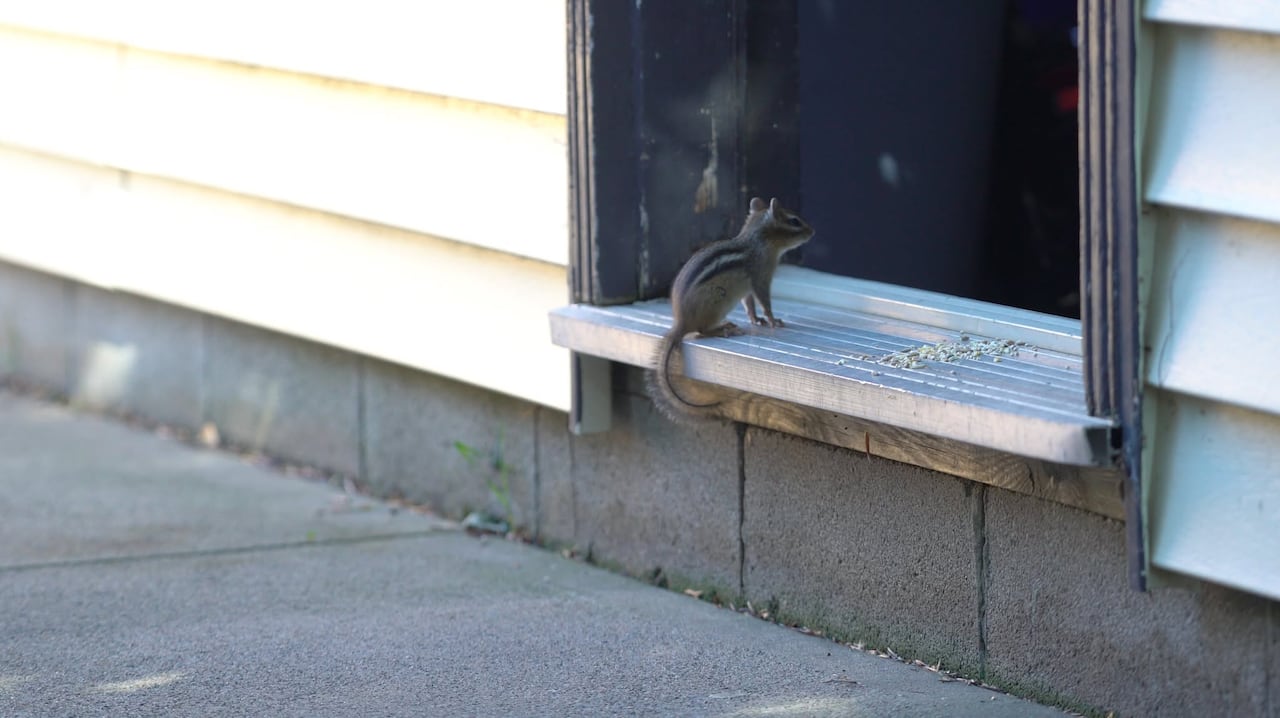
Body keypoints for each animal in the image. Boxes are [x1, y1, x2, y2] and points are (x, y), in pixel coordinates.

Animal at [646, 197, 814, 422]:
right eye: (794, 221)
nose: (812, 231)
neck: (758, 241)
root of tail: (681, 322)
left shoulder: (747, 288)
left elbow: (749, 303)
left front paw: (756, 320)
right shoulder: (761, 277)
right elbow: (764, 301)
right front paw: (773, 320)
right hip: (717, 303)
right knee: (700, 331)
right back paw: (725, 328)